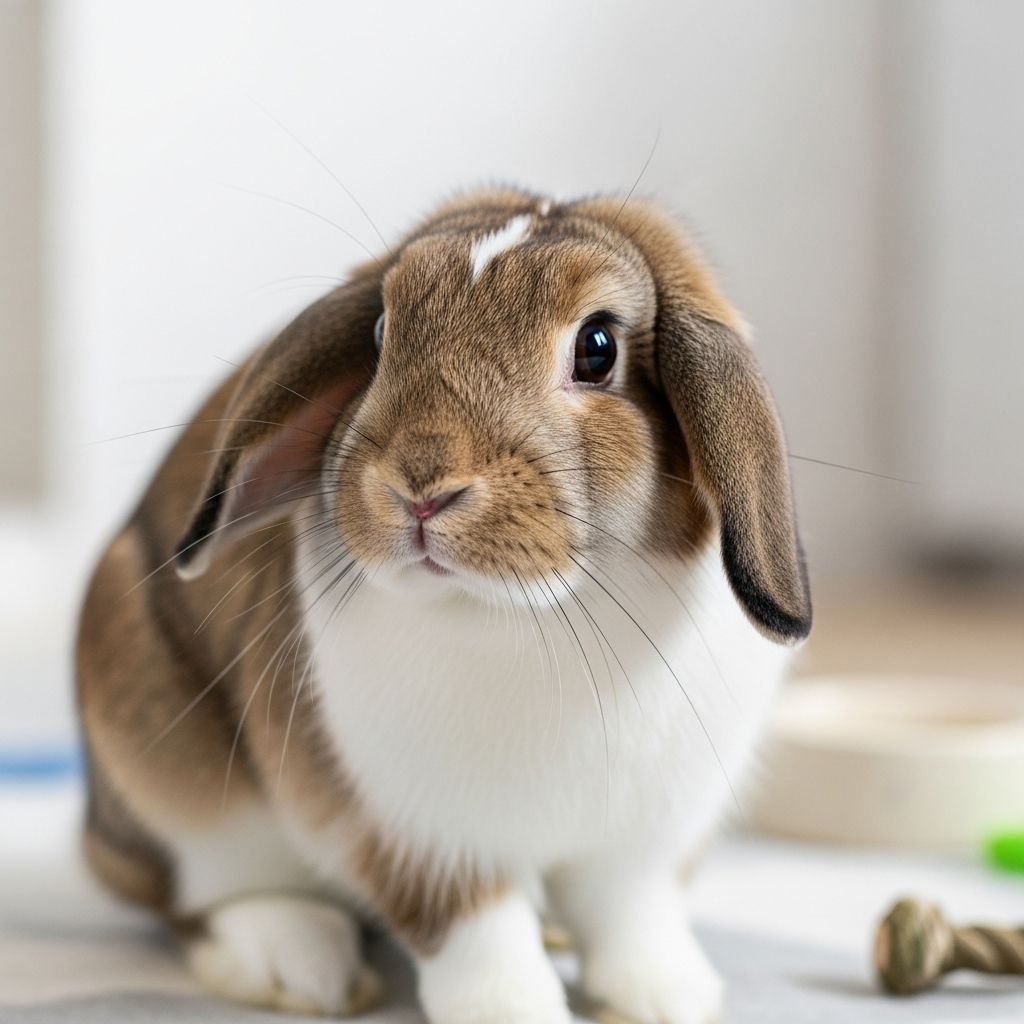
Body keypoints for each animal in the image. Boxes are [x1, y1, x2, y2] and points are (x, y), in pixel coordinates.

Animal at [76, 187, 811, 1024]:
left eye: (598, 347)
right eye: (380, 332)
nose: (421, 486)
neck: (529, 611)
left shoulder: (638, 850)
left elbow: (630, 917)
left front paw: (667, 998)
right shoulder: (427, 845)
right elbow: (476, 934)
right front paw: (515, 1011)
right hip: (178, 784)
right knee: (197, 898)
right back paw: (298, 964)